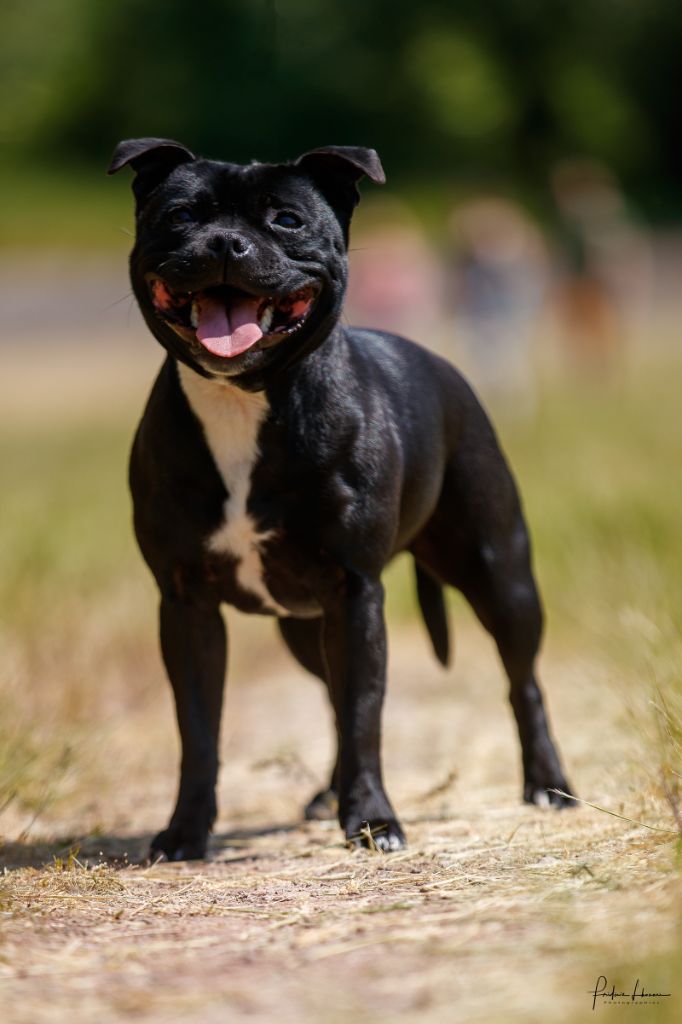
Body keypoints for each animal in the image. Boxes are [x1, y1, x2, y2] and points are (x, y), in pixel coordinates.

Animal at [107, 136, 573, 856]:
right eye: (181, 215)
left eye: (287, 221)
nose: (226, 243)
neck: (242, 399)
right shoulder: (186, 605)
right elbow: (199, 730)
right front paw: (185, 832)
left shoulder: (355, 593)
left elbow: (364, 714)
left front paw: (374, 820)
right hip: (305, 625)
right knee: (328, 691)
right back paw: (326, 794)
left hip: (501, 576)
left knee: (522, 681)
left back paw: (548, 784)